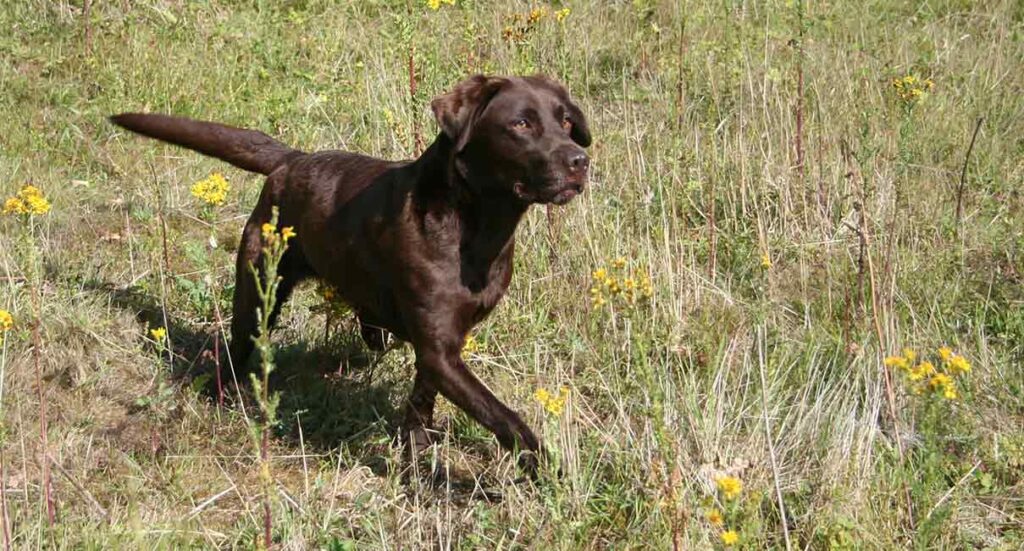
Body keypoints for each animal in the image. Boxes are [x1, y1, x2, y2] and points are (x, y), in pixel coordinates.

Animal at [110, 73, 593, 475]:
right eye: (521, 124)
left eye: (567, 122)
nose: (580, 160)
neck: (478, 227)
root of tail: (293, 160)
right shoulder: (440, 350)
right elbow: (504, 416)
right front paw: (546, 465)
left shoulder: (438, 350)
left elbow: (422, 401)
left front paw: (415, 453)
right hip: (258, 289)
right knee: (238, 345)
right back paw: (220, 394)